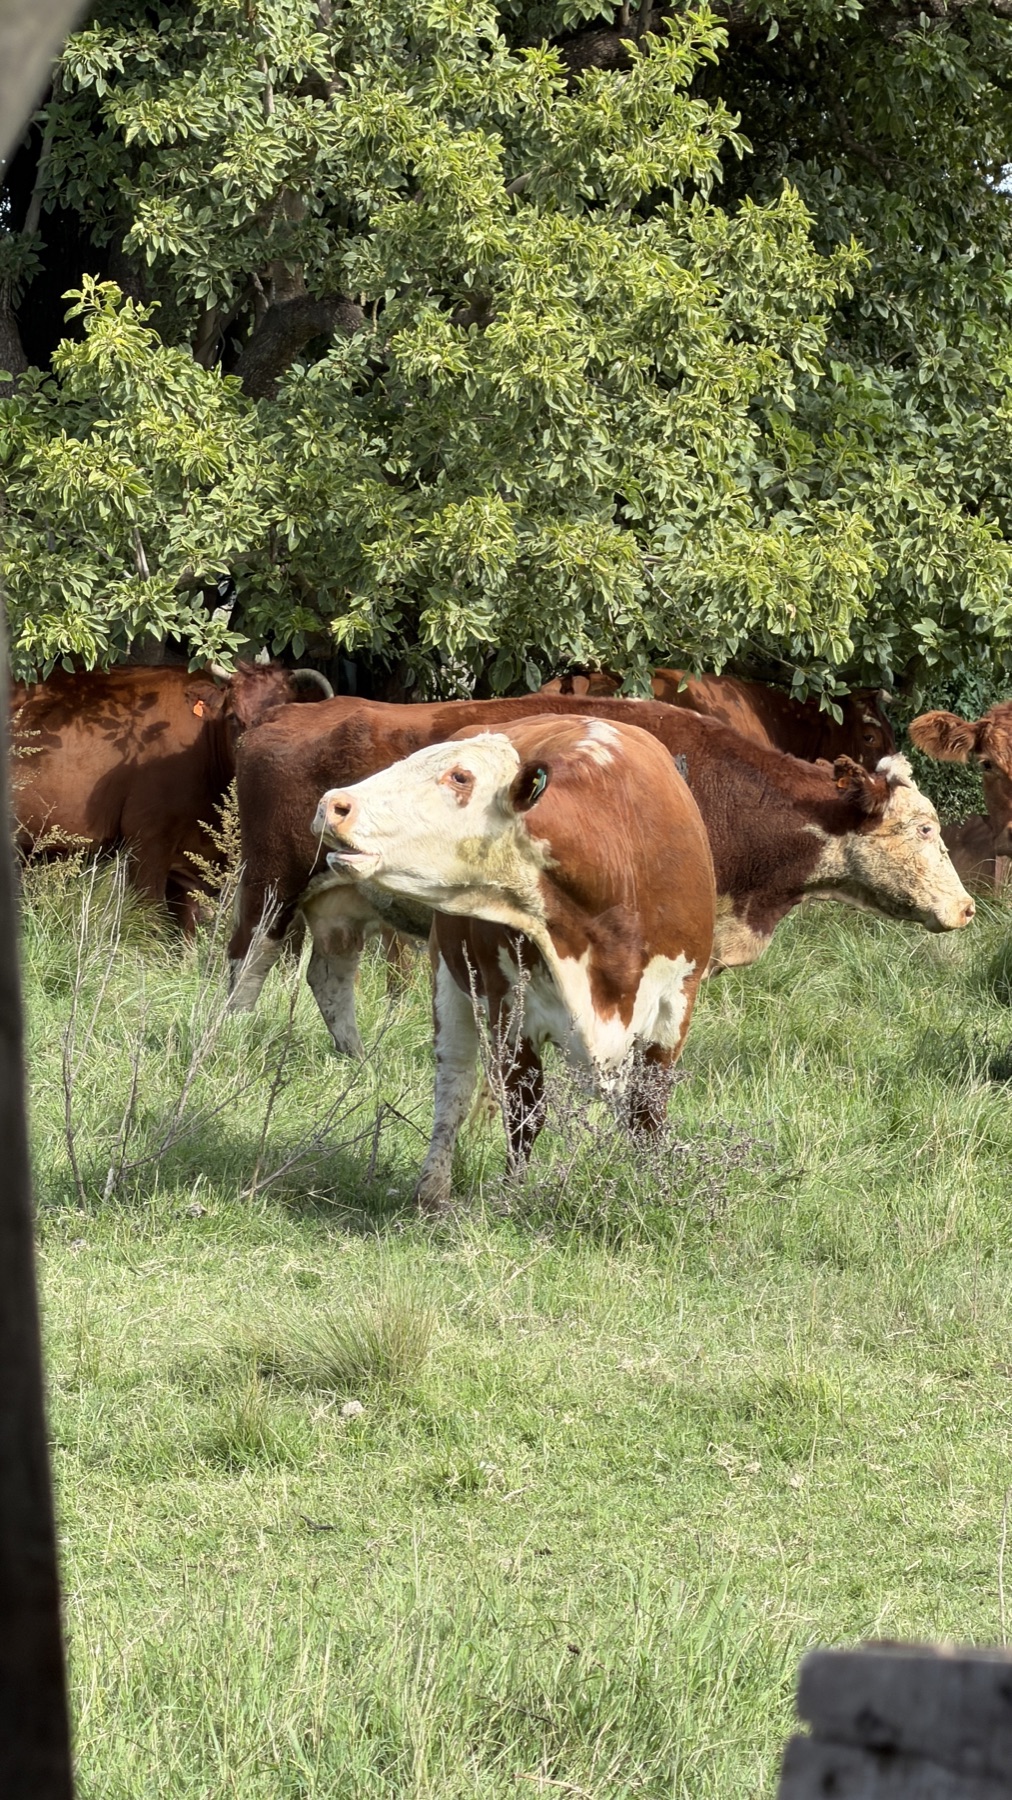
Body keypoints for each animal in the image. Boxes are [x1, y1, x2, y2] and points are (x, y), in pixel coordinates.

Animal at [227, 693, 973, 1053]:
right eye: (925, 828)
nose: (966, 908)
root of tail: (282, 714)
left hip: (340, 901)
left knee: (329, 978)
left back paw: (358, 1057)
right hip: (271, 887)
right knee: (244, 968)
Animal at [314, 716, 716, 1208]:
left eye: (460, 776)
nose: (334, 804)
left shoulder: (675, 1003)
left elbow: (647, 1114)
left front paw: (651, 1188)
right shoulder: (507, 1004)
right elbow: (526, 1110)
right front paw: (514, 1193)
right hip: (449, 979)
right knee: (454, 1084)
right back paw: (432, 1190)